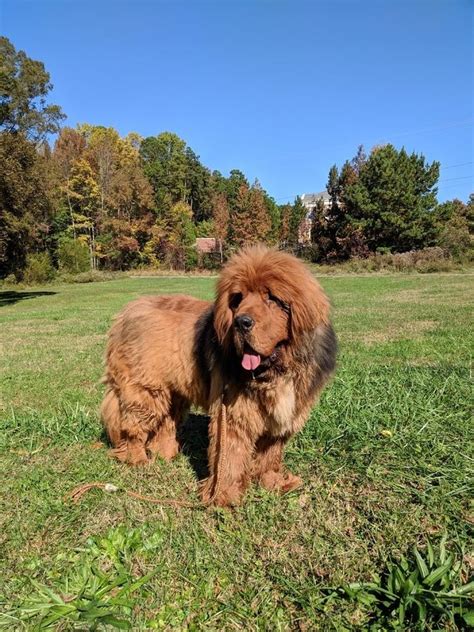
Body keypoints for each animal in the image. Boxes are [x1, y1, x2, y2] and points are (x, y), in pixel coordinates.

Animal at [101, 244, 336, 506]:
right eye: (238, 299)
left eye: (272, 298)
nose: (241, 322)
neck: (275, 370)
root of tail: (126, 313)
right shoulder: (234, 414)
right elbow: (230, 457)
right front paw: (223, 497)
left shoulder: (283, 416)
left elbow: (269, 456)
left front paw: (273, 484)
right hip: (145, 392)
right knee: (132, 428)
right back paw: (138, 459)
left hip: (173, 393)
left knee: (165, 423)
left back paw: (165, 454)